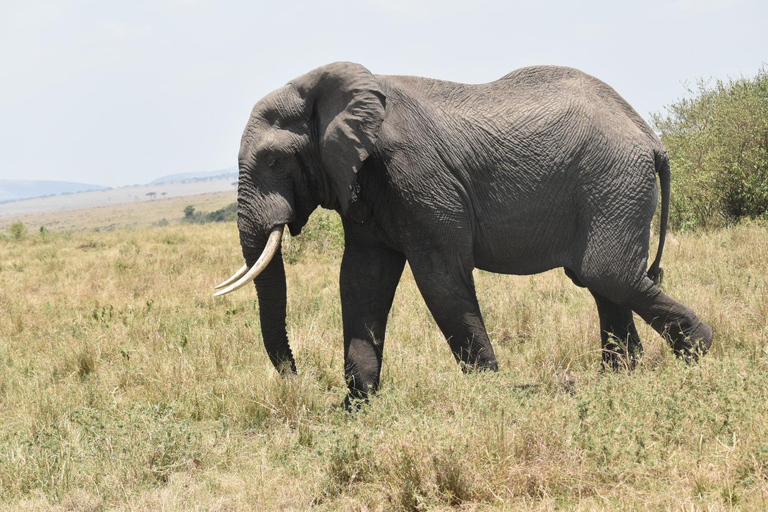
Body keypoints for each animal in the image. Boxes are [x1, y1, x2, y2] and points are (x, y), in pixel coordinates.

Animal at [213, 61, 712, 404]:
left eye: (273, 160)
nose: (299, 381)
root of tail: (651, 138)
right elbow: (360, 281)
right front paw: (357, 409)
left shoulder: (416, 174)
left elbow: (440, 277)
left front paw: (488, 395)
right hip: (611, 186)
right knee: (603, 281)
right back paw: (618, 380)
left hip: (612, 180)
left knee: (607, 274)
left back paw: (699, 355)